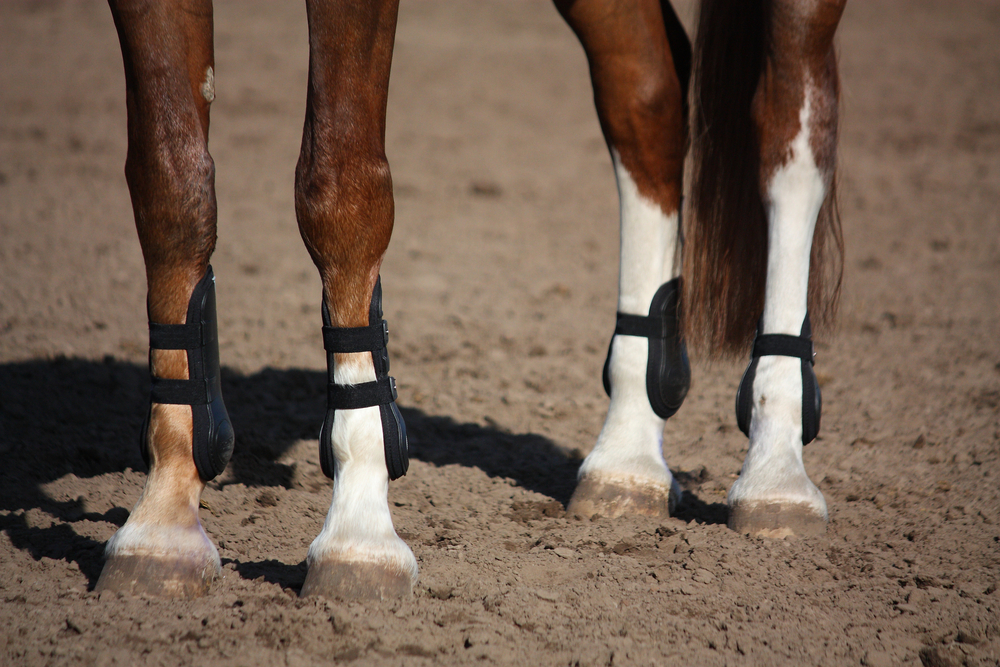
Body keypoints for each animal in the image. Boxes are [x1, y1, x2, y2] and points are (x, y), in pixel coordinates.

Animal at [96, 0, 846, 600]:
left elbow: (339, 187)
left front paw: (359, 531)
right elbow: (169, 185)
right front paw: (163, 520)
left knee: (789, 116)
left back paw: (776, 464)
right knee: (647, 90)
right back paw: (627, 458)